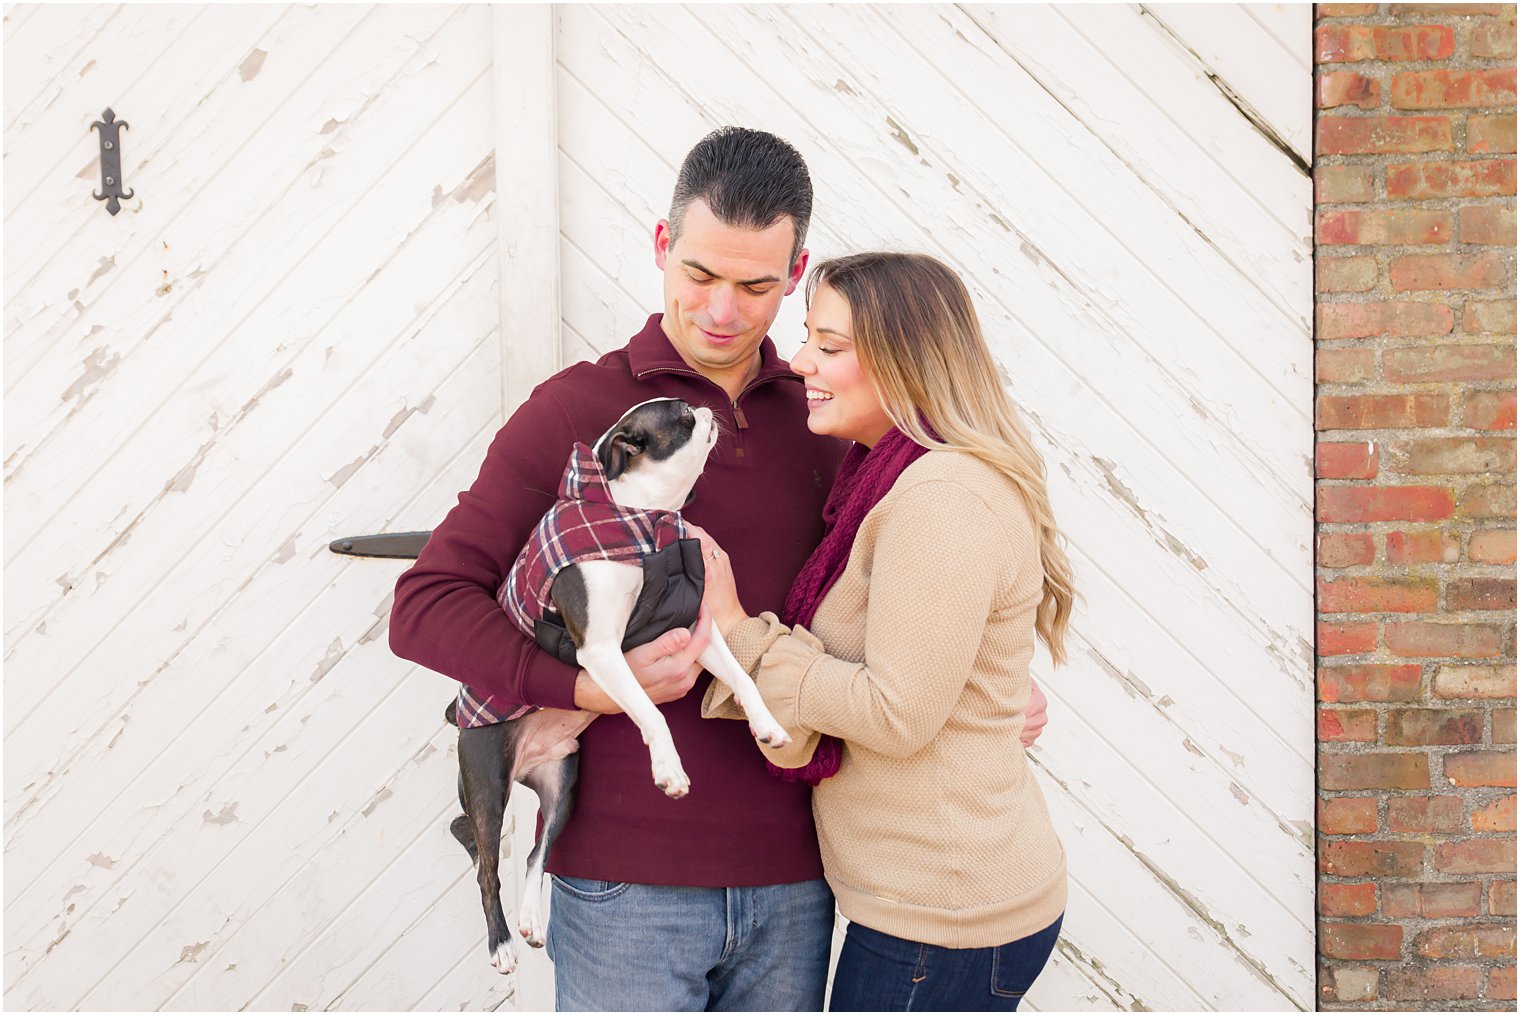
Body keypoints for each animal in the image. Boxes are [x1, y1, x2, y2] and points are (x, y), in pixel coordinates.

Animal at [446, 395, 784, 972]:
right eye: (683, 419)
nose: (705, 406)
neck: (639, 520)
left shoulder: (693, 625)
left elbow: (742, 677)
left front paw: (766, 725)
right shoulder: (602, 650)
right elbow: (651, 712)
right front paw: (669, 770)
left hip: (564, 788)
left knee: (536, 851)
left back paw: (532, 920)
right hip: (487, 785)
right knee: (486, 867)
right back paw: (502, 944)